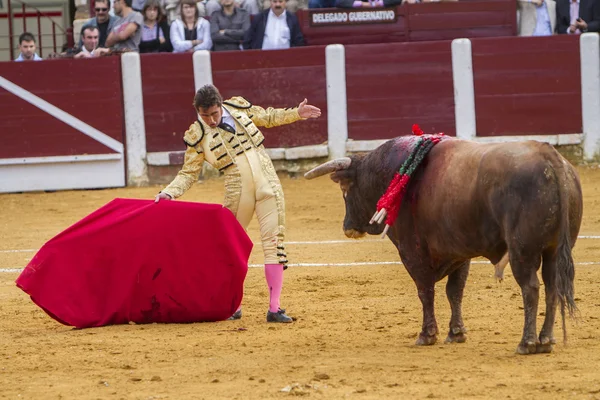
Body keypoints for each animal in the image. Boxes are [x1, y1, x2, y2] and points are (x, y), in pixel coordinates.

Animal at [304, 137, 580, 354]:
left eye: (345, 188)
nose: (347, 227)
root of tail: (550, 157)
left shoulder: (412, 251)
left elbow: (425, 291)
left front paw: (426, 335)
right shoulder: (459, 253)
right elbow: (454, 291)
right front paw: (456, 333)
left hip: (522, 251)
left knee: (530, 287)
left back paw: (527, 343)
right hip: (553, 250)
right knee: (552, 287)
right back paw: (546, 340)